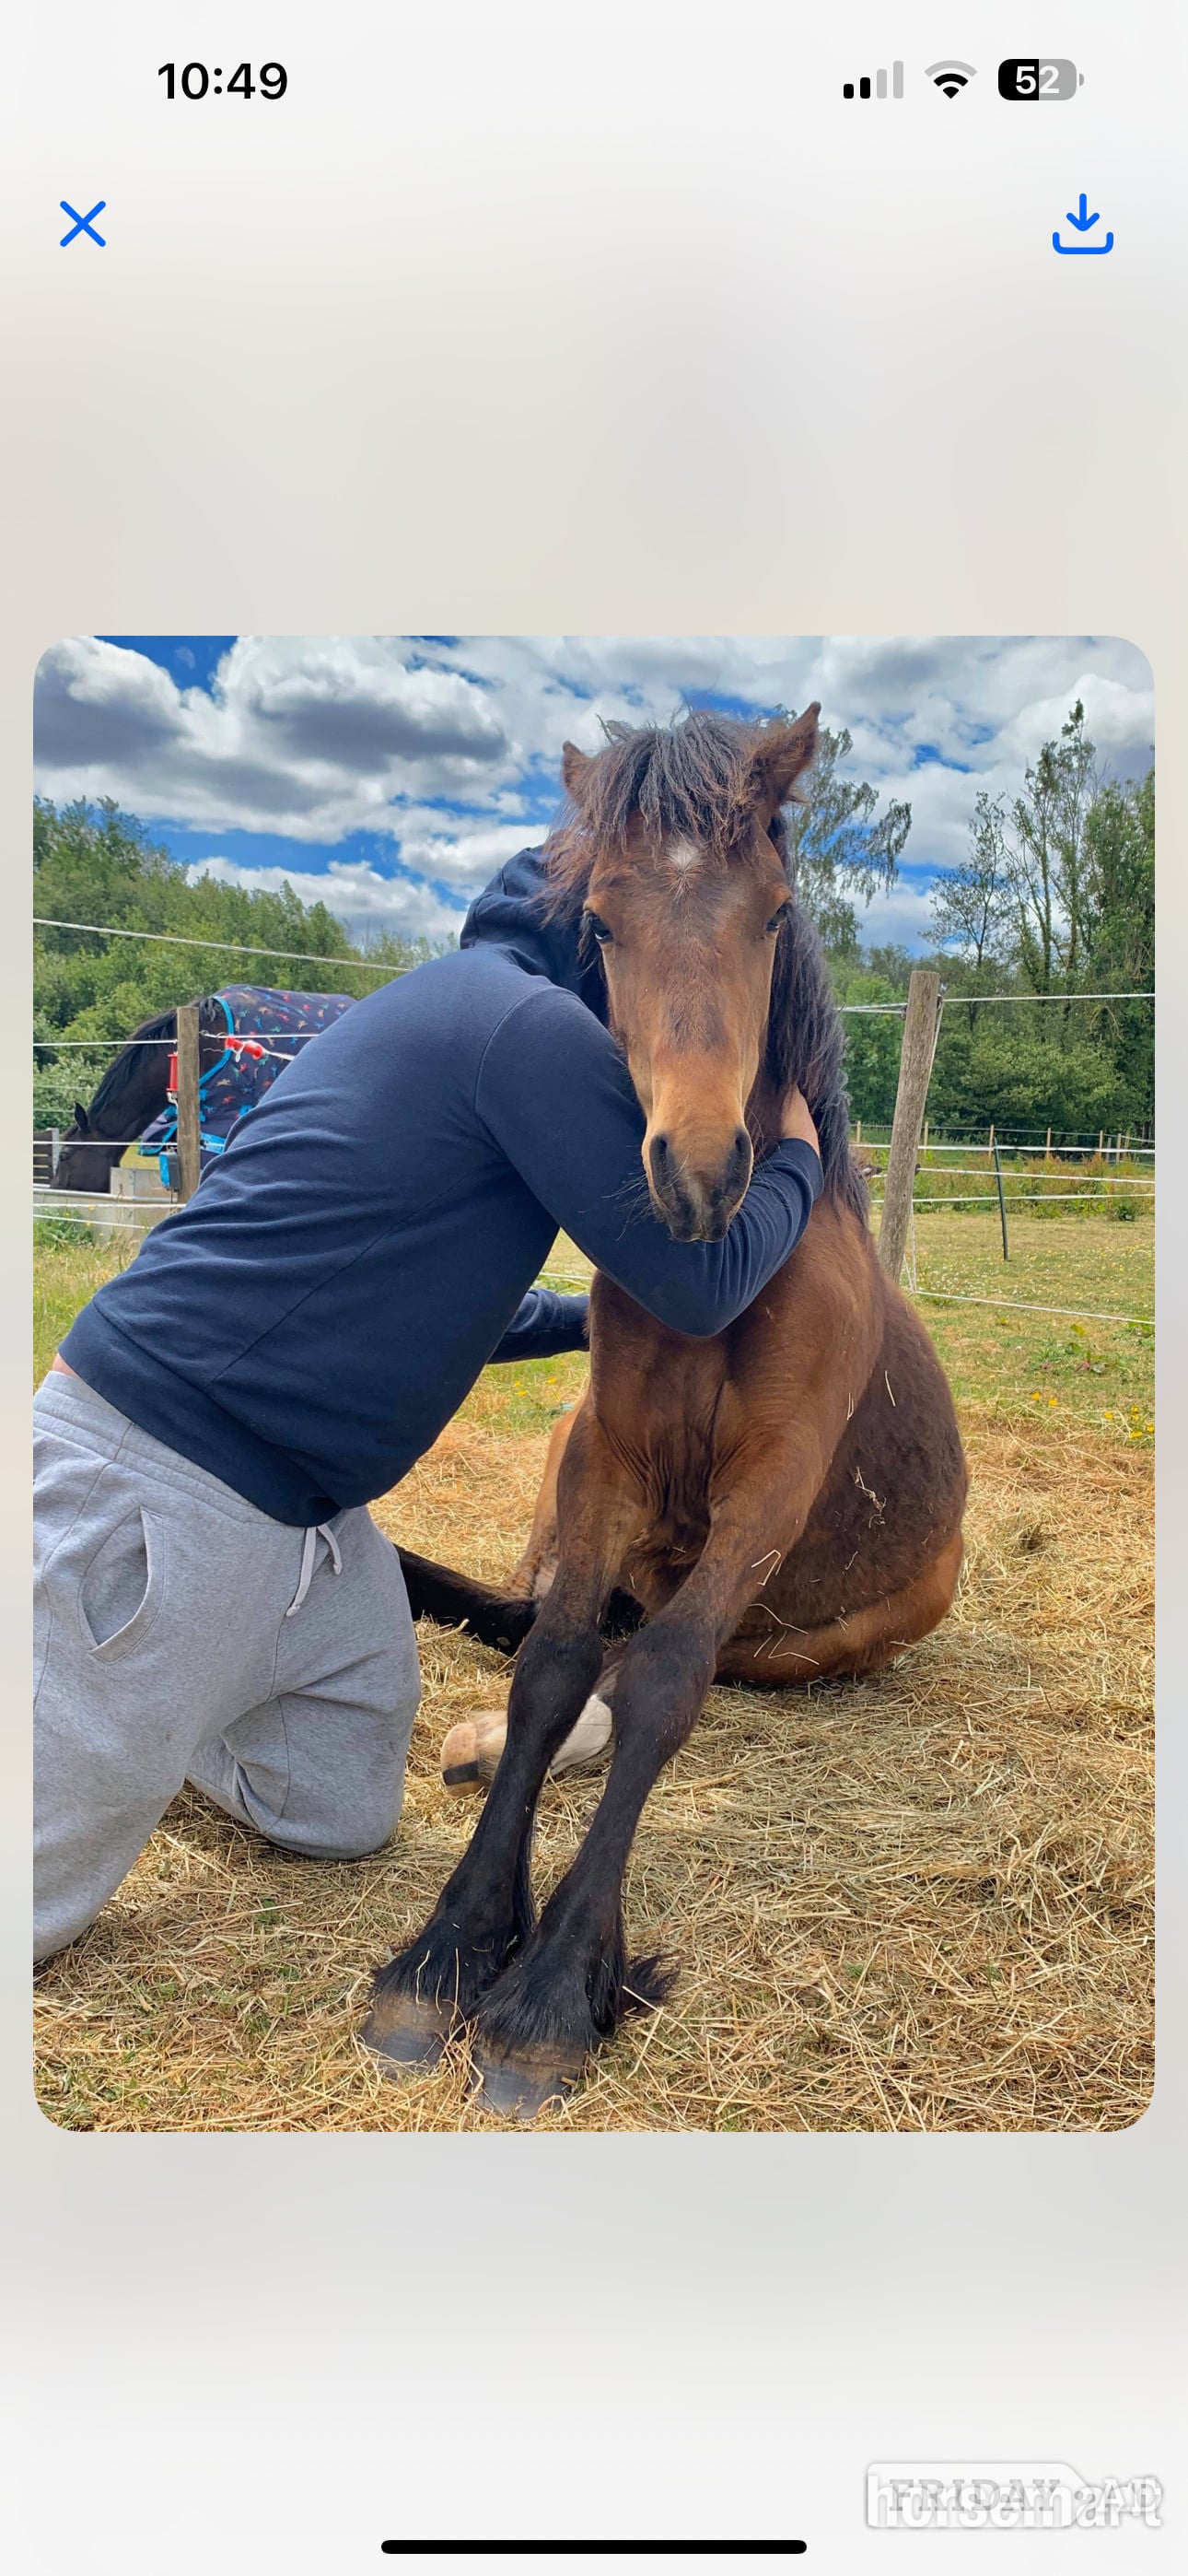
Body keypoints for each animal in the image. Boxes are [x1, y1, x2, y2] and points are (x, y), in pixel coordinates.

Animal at [366, 706, 968, 2117]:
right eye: (601, 924)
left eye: (773, 911)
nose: (695, 1175)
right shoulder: (605, 1460)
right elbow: (547, 1665)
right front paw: (448, 1950)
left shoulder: (769, 1490)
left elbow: (659, 1688)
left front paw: (548, 1992)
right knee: (541, 1623)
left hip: (833, 1630)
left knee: (655, 1658)